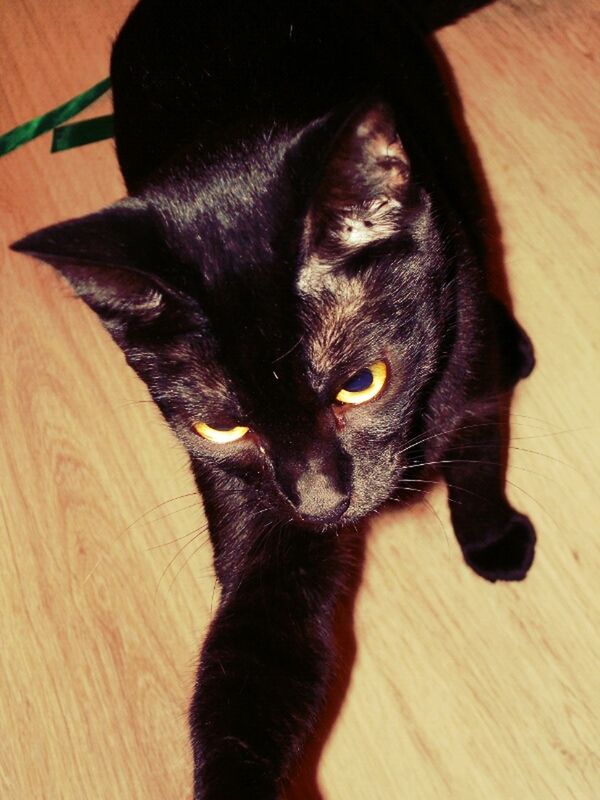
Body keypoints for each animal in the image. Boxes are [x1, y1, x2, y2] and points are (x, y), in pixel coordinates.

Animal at [10, 3, 536, 796]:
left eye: (361, 383)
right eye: (223, 428)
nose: (321, 504)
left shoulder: (462, 362)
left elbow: (477, 459)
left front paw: (492, 540)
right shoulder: (263, 528)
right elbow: (249, 666)